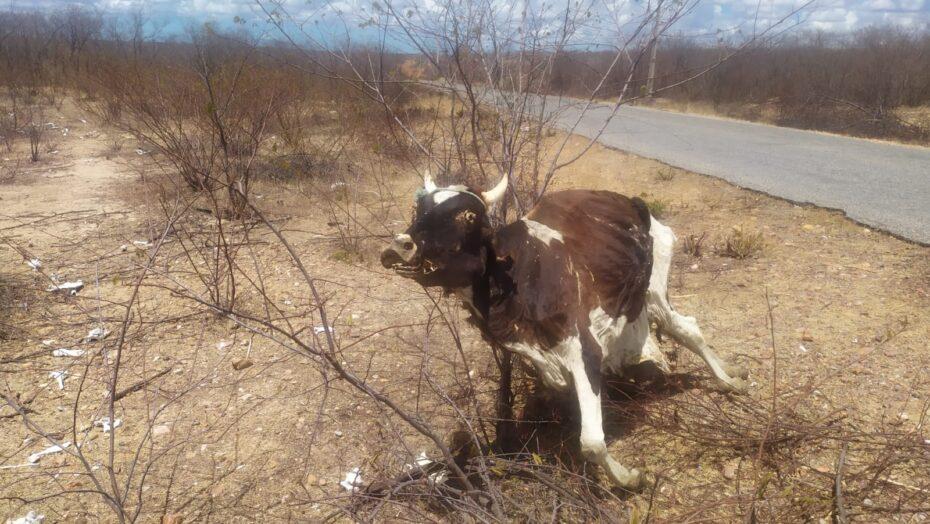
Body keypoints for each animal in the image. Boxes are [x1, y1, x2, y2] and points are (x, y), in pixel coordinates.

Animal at [380, 171, 748, 490]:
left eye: (468, 216)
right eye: (419, 208)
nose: (400, 245)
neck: (517, 276)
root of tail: (626, 199)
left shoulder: (585, 348)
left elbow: (592, 442)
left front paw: (630, 479)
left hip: (654, 285)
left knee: (685, 328)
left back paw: (729, 381)